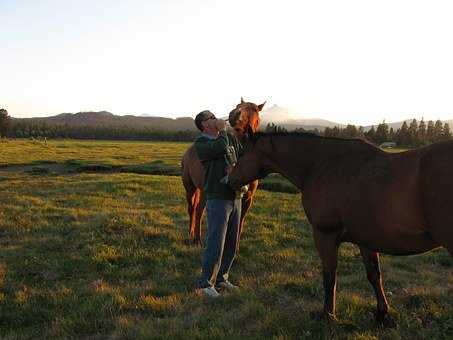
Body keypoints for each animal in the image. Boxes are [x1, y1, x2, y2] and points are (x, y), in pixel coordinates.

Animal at [181, 98, 264, 244]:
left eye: (254, 110)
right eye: (238, 105)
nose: (234, 114)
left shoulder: (248, 198)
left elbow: (240, 222)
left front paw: (236, 244)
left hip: (201, 190)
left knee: (198, 209)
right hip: (191, 188)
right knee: (194, 210)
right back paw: (194, 236)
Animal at [230, 132, 452, 324]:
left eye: (242, 153)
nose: (228, 181)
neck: (319, 165)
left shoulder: (325, 235)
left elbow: (329, 276)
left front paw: (328, 315)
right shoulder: (366, 241)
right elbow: (374, 276)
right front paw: (382, 314)